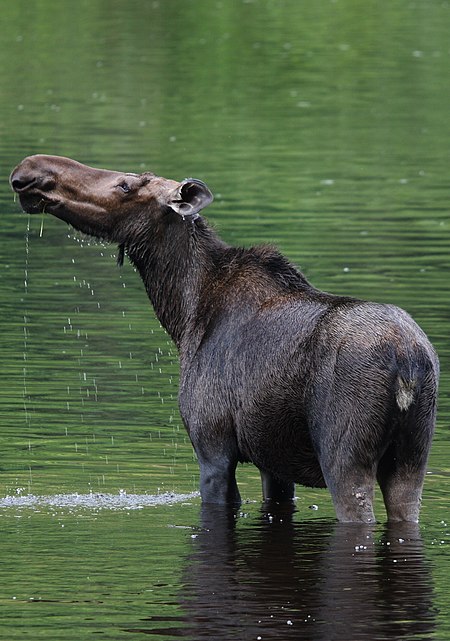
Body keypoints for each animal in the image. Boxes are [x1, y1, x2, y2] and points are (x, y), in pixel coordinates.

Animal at [10, 155, 440, 520]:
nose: (29, 171)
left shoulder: (212, 447)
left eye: (125, 185)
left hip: (344, 455)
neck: (182, 314)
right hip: (413, 458)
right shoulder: (272, 461)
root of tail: (408, 361)